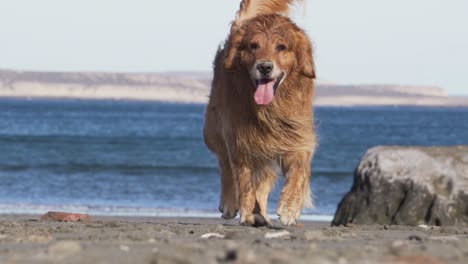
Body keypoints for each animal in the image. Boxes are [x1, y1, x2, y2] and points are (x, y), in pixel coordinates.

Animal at [203, 0, 316, 227]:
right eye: (253, 46)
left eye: (281, 47)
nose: (264, 67)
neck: (270, 109)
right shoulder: (240, 140)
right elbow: (244, 180)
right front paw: (248, 213)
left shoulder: (296, 137)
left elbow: (299, 172)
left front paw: (289, 208)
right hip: (213, 130)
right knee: (225, 164)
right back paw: (231, 204)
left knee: (263, 182)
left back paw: (262, 213)